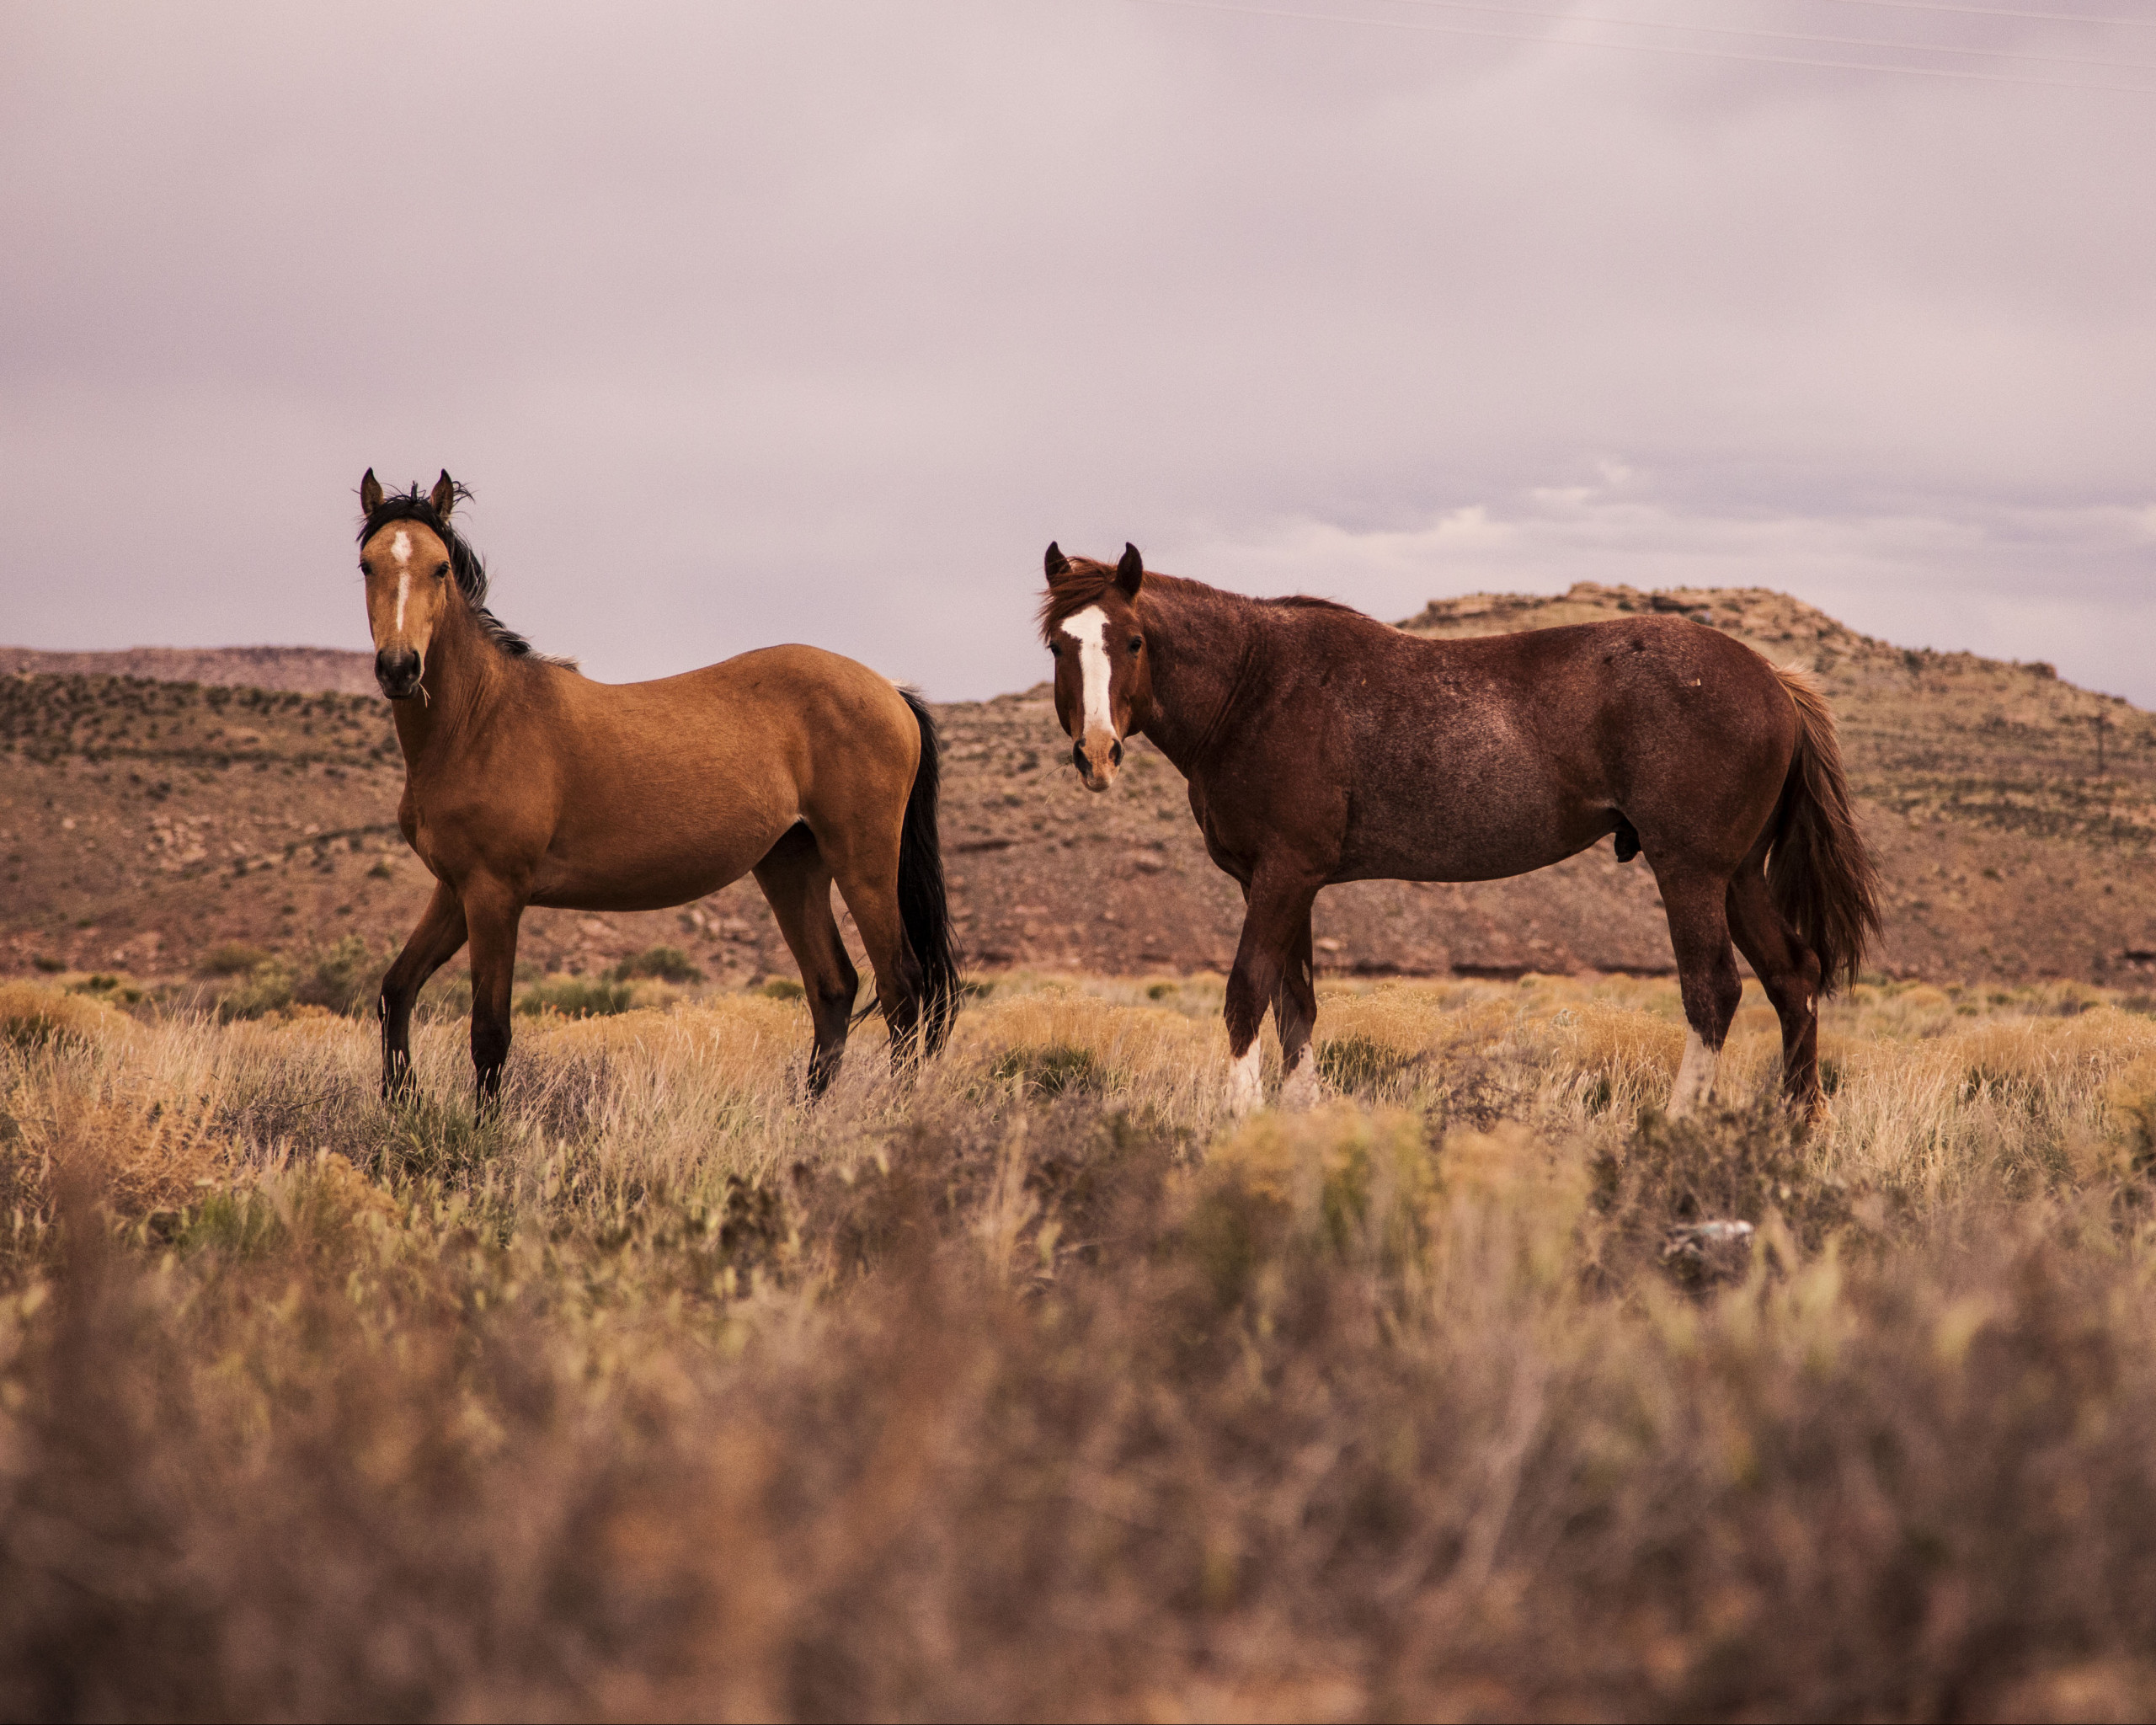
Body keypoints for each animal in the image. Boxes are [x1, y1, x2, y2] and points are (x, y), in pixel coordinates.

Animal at [355, 469, 959, 1107]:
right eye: (368, 565)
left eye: (440, 567)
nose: (400, 667)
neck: (481, 719)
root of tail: (890, 690)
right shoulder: (455, 890)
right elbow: (395, 992)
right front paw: (401, 1102)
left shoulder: (495, 894)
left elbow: (490, 1033)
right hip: (791, 866)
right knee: (834, 987)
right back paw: (809, 1115)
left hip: (863, 863)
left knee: (902, 989)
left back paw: (894, 1111)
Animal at [1037, 543, 1880, 1121]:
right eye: (1058, 645)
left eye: (1133, 641)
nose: (1097, 753)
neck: (1256, 687)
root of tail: (1773, 680)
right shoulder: (1287, 884)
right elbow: (1295, 1005)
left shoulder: (1281, 877)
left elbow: (1247, 993)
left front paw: (1241, 1119)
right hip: (1737, 877)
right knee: (1794, 979)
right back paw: (1794, 1130)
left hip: (1692, 873)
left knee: (1714, 992)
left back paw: (1677, 1127)